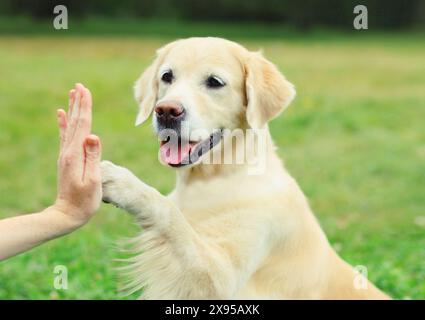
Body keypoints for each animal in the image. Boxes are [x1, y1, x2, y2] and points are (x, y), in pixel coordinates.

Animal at [101, 37, 390, 300]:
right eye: (167, 76)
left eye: (214, 82)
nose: (166, 111)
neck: (211, 179)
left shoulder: (221, 278)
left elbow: (172, 217)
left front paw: (121, 183)